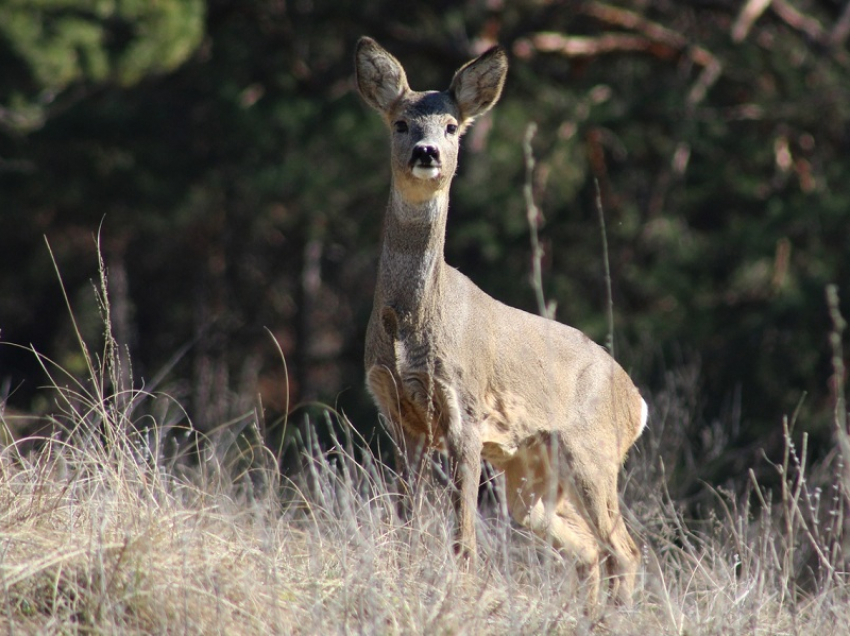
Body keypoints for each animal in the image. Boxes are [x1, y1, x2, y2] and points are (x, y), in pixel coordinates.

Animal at [354, 36, 644, 608]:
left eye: (451, 126)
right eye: (400, 123)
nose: (427, 153)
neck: (411, 324)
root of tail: (637, 401)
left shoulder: (464, 413)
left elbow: (463, 537)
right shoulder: (399, 417)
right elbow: (403, 523)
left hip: (592, 453)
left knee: (624, 550)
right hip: (529, 475)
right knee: (588, 550)